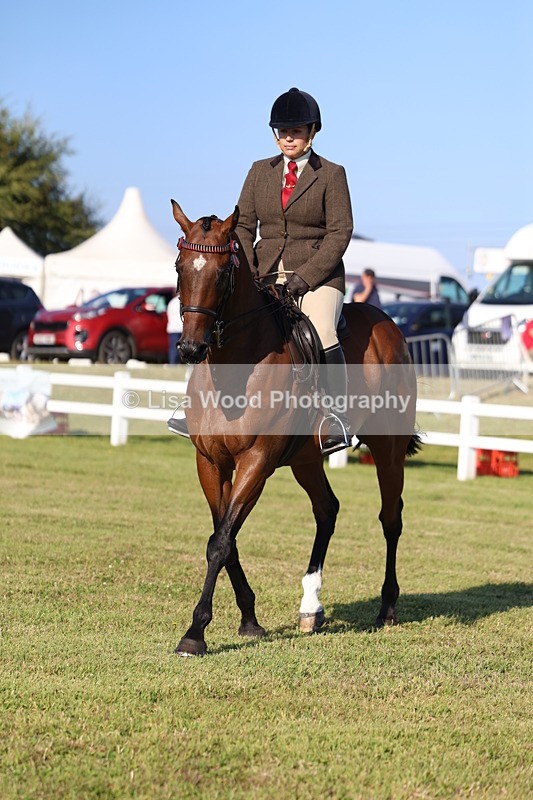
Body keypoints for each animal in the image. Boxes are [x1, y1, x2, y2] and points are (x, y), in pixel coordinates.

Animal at [170, 200, 420, 656]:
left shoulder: (257, 461)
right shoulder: (210, 462)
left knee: (390, 518)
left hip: (388, 449)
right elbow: (225, 537)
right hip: (305, 459)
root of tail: (388, 323)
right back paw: (311, 608)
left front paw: (195, 633)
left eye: (223, 273)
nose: (191, 348)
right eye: (181, 267)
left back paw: (387, 607)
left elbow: (221, 541)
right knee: (327, 510)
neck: (234, 369)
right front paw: (249, 619)